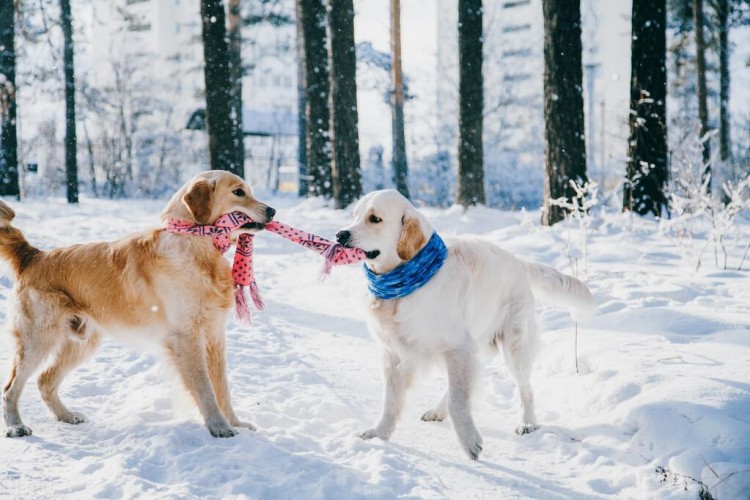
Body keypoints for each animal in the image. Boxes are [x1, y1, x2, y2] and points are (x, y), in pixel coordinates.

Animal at [0, 171, 276, 438]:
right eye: (238, 192)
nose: (273, 211)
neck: (196, 245)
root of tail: (33, 255)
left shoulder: (215, 335)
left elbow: (222, 388)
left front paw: (236, 423)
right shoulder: (186, 337)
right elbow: (205, 387)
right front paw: (219, 427)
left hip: (82, 342)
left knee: (44, 380)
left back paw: (66, 415)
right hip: (38, 339)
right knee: (10, 388)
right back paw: (16, 427)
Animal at [338, 190, 596, 460]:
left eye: (374, 219)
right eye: (355, 215)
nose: (340, 235)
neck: (405, 284)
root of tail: (520, 262)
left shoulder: (457, 347)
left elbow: (458, 400)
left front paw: (469, 441)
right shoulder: (394, 353)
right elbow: (391, 401)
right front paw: (380, 433)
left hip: (515, 346)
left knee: (525, 388)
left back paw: (527, 422)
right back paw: (437, 411)